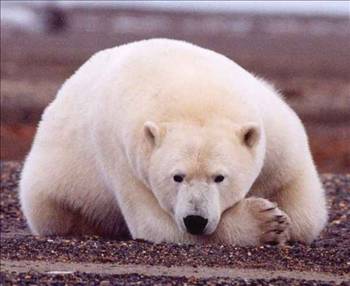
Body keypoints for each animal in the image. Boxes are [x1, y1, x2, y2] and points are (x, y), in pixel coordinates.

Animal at [19, 38, 326, 246]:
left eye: (219, 177)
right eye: (177, 176)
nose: (195, 220)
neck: (193, 91)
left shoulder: (274, 130)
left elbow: (302, 204)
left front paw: (283, 218)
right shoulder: (125, 157)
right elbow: (156, 225)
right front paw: (267, 222)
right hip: (53, 187)